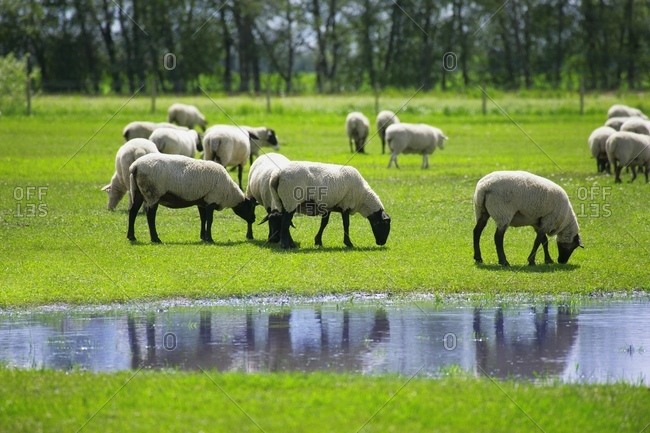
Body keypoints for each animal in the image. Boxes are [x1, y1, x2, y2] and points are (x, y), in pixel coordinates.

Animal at [127, 153, 255, 243]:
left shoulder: (202, 202)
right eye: (250, 207)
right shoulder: (211, 200)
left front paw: (203, 237)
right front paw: (210, 239)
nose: (253, 219)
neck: (229, 192)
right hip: (153, 193)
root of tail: (135, 166)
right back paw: (155, 239)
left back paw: (131, 237)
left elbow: (203, 219)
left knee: (132, 212)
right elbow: (210, 220)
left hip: (137, 191)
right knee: (150, 216)